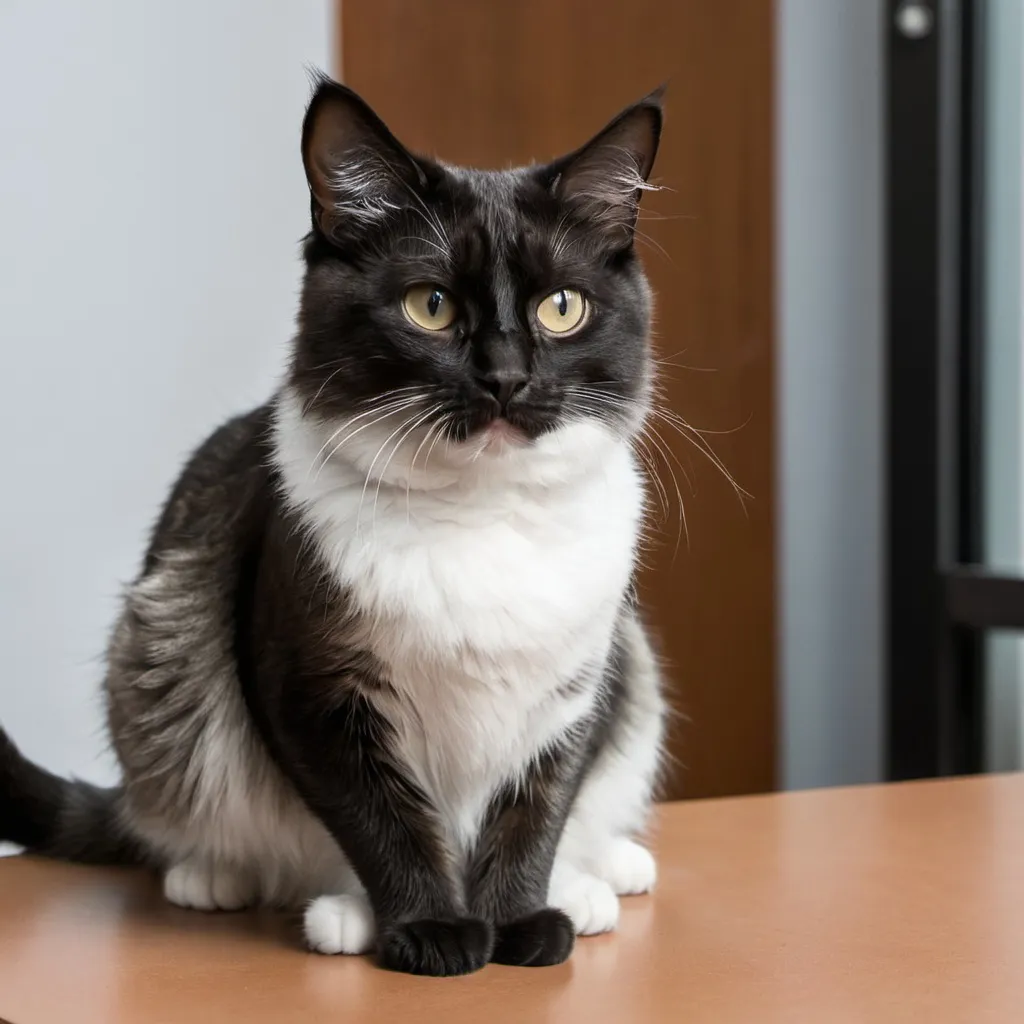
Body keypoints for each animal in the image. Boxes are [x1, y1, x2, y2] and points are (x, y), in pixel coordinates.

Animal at [0, 74, 667, 974]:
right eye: (430, 305)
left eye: (562, 307)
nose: (505, 378)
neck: (480, 510)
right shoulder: (311, 682)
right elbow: (381, 815)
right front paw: (431, 929)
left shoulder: (576, 688)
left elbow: (536, 809)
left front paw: (524, 920)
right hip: (160, 638)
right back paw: (238, 882)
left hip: (634, 666)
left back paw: (601, 875)